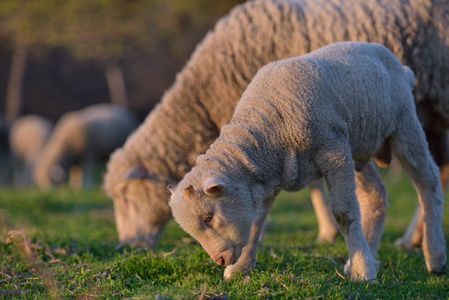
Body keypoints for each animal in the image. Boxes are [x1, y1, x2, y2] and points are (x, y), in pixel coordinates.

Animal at [102, 0, 448, 250]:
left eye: (126, 197)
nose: (126, 245)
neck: (204, 95)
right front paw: (325, 232)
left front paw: (322, 231)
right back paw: (415, 239)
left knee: (431, 177)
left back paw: (418, 242)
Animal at [168, 41, 444, 282]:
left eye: (208, 218)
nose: (221, 260)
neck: (268, 134)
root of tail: (402, 68)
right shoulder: (266, 180)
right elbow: (257, 221)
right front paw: (240, 268)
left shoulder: (333, 151)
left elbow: (344, 213)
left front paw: (363, 273)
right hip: (359, 147)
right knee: (376, 195)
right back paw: (368, 256)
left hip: (404, 126)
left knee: (428, 182)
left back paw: (434, 257)